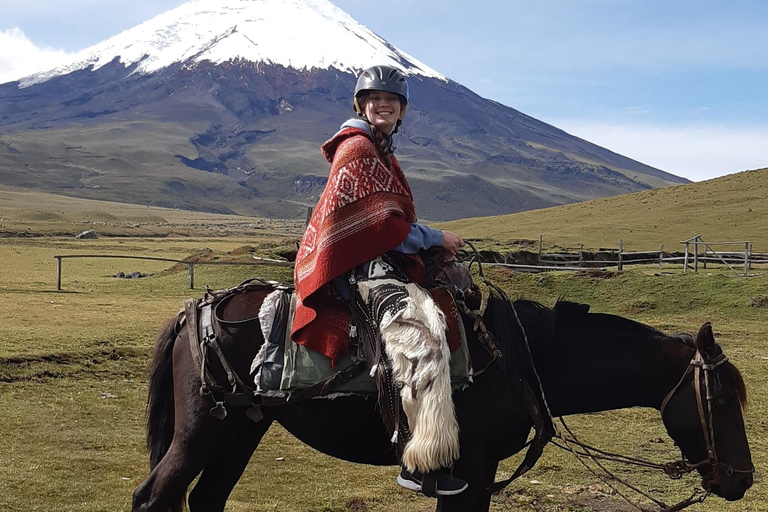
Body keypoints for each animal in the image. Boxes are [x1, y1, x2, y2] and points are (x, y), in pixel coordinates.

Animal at [130, 288, 752, 512]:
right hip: (204, 430)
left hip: (243, 428)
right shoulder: (468, 469)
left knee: (205, 499)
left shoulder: (481, 472)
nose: (742, 481)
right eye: (721, 398)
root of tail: (193, 311)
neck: (525, 358)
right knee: (154, 496)